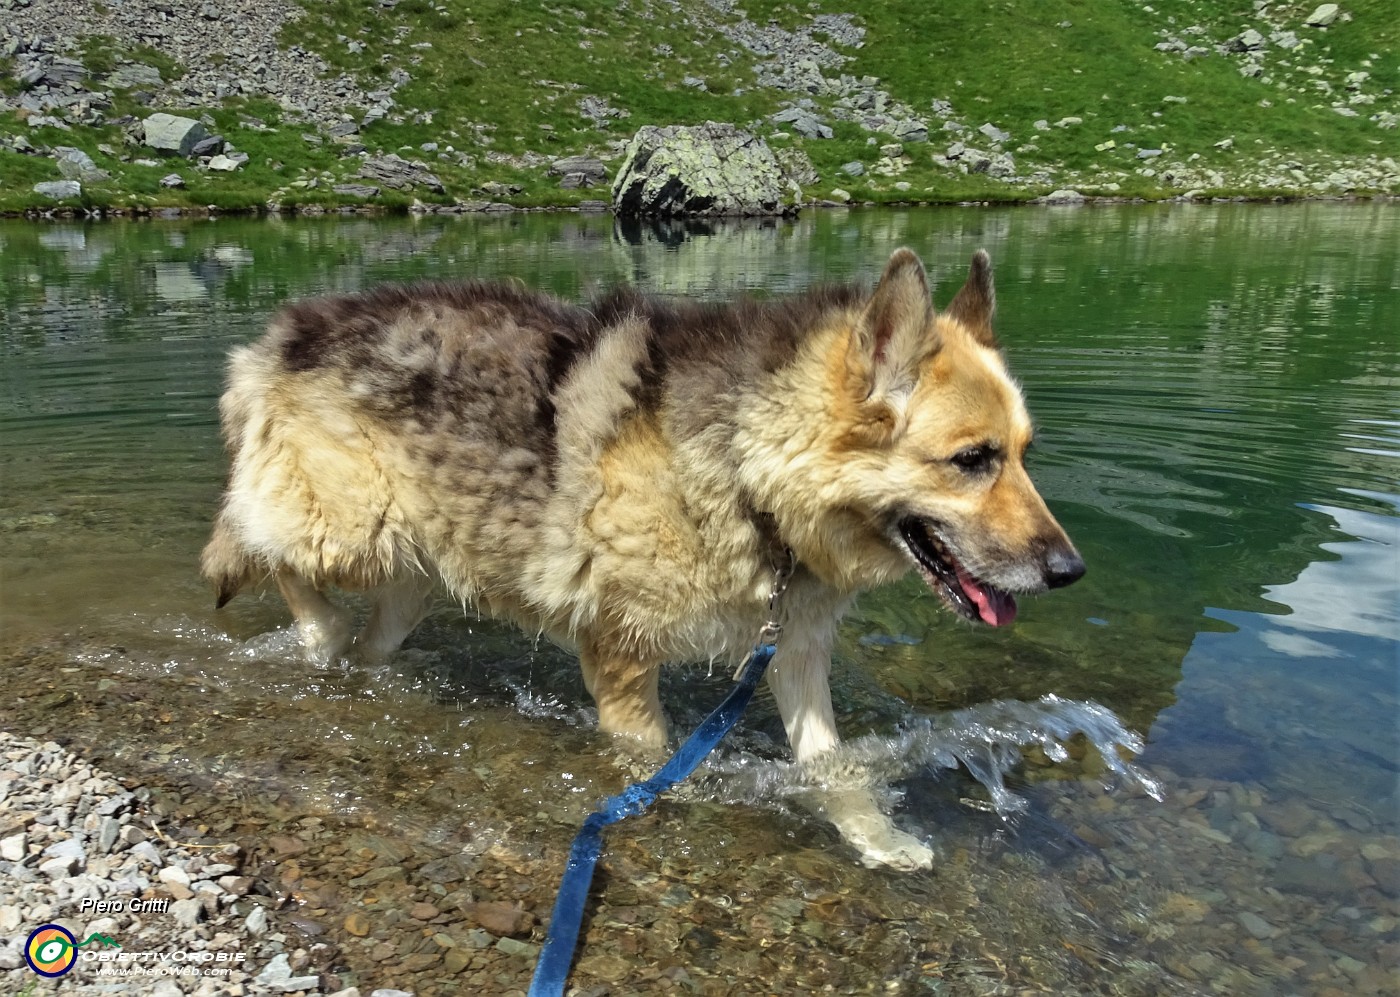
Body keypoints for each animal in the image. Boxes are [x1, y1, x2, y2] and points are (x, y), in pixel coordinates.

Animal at [203, 249, 1086, 873]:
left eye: (1024, 453)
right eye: (972, 459)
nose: (1070, 572)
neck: (751, 474)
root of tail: (275, 336)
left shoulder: (795, 649)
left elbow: (832, 765)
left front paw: (876, 837)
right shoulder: (621, 656)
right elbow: (658, 765)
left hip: (412, 577)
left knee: (367, 641)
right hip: (351, 532)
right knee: (261, 542)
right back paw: (313, 631)